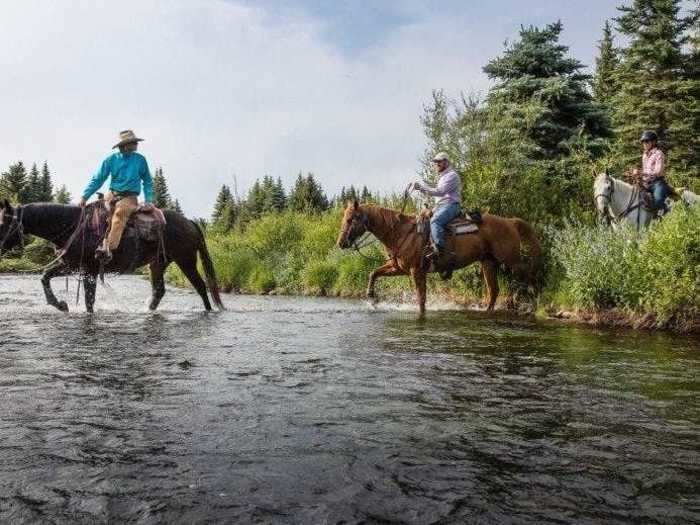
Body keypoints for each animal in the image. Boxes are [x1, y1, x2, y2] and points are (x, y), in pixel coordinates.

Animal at [0, 198, 224, 312]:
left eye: (4, 222)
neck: (72, 227)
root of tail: (190, 222)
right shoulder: (71, 265)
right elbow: (44, 276)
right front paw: (60, 304)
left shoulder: (89, 270)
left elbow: (89, 301)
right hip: (158, 263)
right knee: (159, 291)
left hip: (186, 260)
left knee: (201, 286)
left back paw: (210, 311)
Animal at [338, 201, 540, 316]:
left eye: (350, 219)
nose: (341, 243)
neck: (401, 232)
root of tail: (510, 221)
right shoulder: (398, 268)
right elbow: (374, 273)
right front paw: (371, 297)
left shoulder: (416, 271)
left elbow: (421, 298)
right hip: (488, 262)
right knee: (494, 290)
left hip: (510, 259)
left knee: (527, 270)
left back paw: (528, 296)